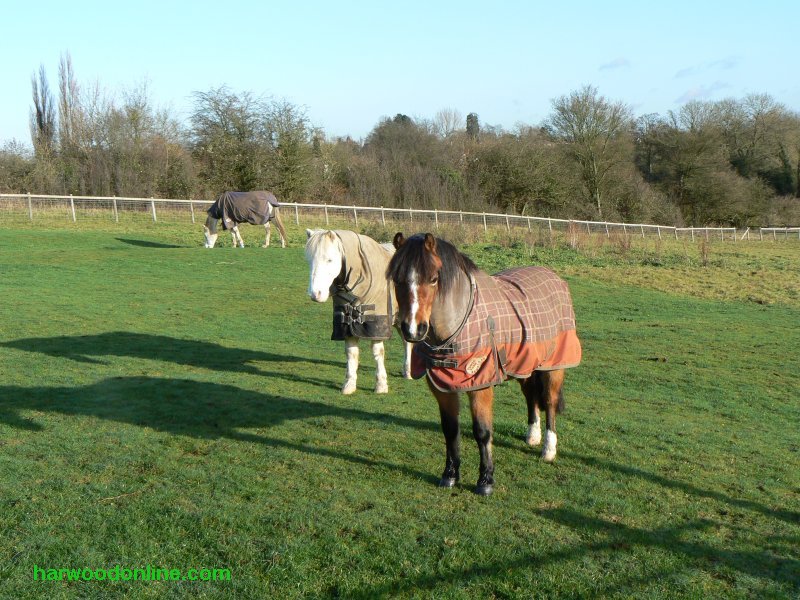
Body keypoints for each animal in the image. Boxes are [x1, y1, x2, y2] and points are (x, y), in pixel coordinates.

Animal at [305, 229, 413, 395]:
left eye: (329, 260)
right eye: (309, 260)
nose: (315, 294)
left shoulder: (377, 325)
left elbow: (378, 352)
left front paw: (381, 385)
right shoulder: (346, 327)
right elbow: (351, 353)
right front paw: (349, 384)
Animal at [387, 233, 582, 495]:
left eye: (433, 279)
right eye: (397, 279)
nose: (412, 329)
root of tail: (552, 275)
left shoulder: (480, 386)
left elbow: (482, 431)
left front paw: (486, 480)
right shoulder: (442, 388)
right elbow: (450, 429)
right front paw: (450, 475)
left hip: (554, 366)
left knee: (549, 402)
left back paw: (548, 449)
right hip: (524, 365)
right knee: (531, 396)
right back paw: (532, 435)